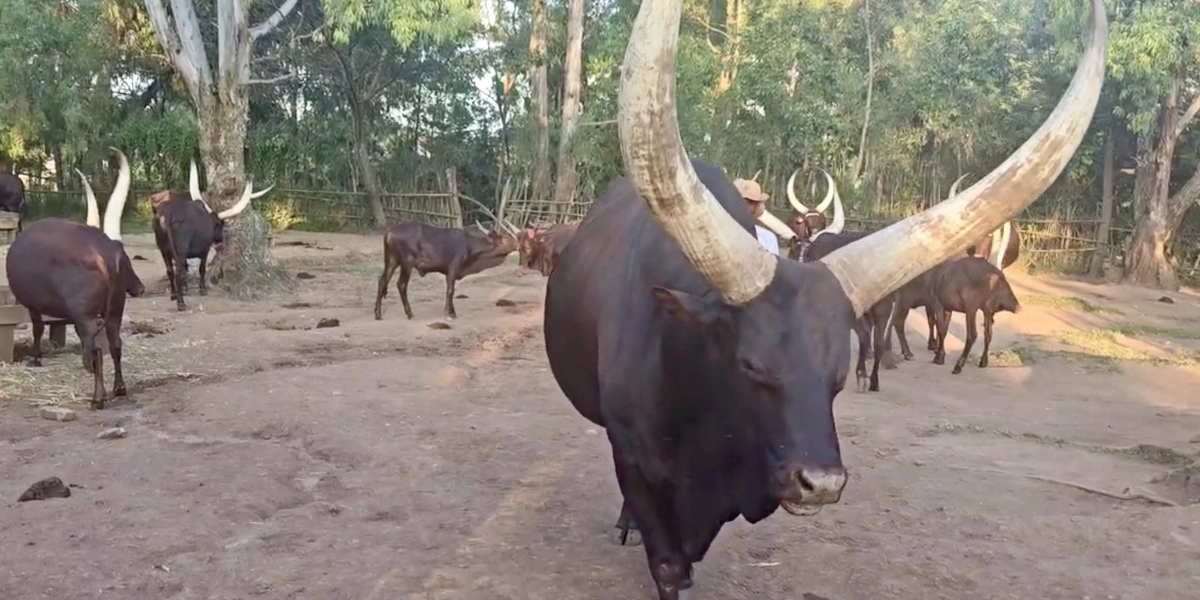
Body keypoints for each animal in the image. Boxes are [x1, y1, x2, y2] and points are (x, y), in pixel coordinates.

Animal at [4, 148, 145, 409]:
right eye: (128, 261)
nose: (140, 289)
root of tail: (103, 251)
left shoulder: (33, 305)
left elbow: (37, 329)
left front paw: (36, 358)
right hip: (114, 312)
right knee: (115, 343)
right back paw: (119, 388)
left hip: (87, 315)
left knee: (97, 346)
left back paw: (97, 397)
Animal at [152, 159, 273, 311]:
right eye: (220, 225)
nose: (221, 240)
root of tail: (168, 213)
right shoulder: (204, 249)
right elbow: (202, 269)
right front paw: (202, 289)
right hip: (180, 250)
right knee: (178, 272)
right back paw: (181, 304)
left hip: (164, 250)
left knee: (170, 271)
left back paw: (174, 295)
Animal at [374, 222, 518, 320]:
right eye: (507, 239)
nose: (518, 243)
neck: (471, 248)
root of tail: (389, 232)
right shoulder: (454, 267)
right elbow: (450, 291)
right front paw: (449, 314)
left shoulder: (449, 271)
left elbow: (450, 291)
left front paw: (452, 312)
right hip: (407, 262)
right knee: (401, 284)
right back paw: (409, 313)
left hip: (392, 260)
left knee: (382, 281)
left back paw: (378, 313)